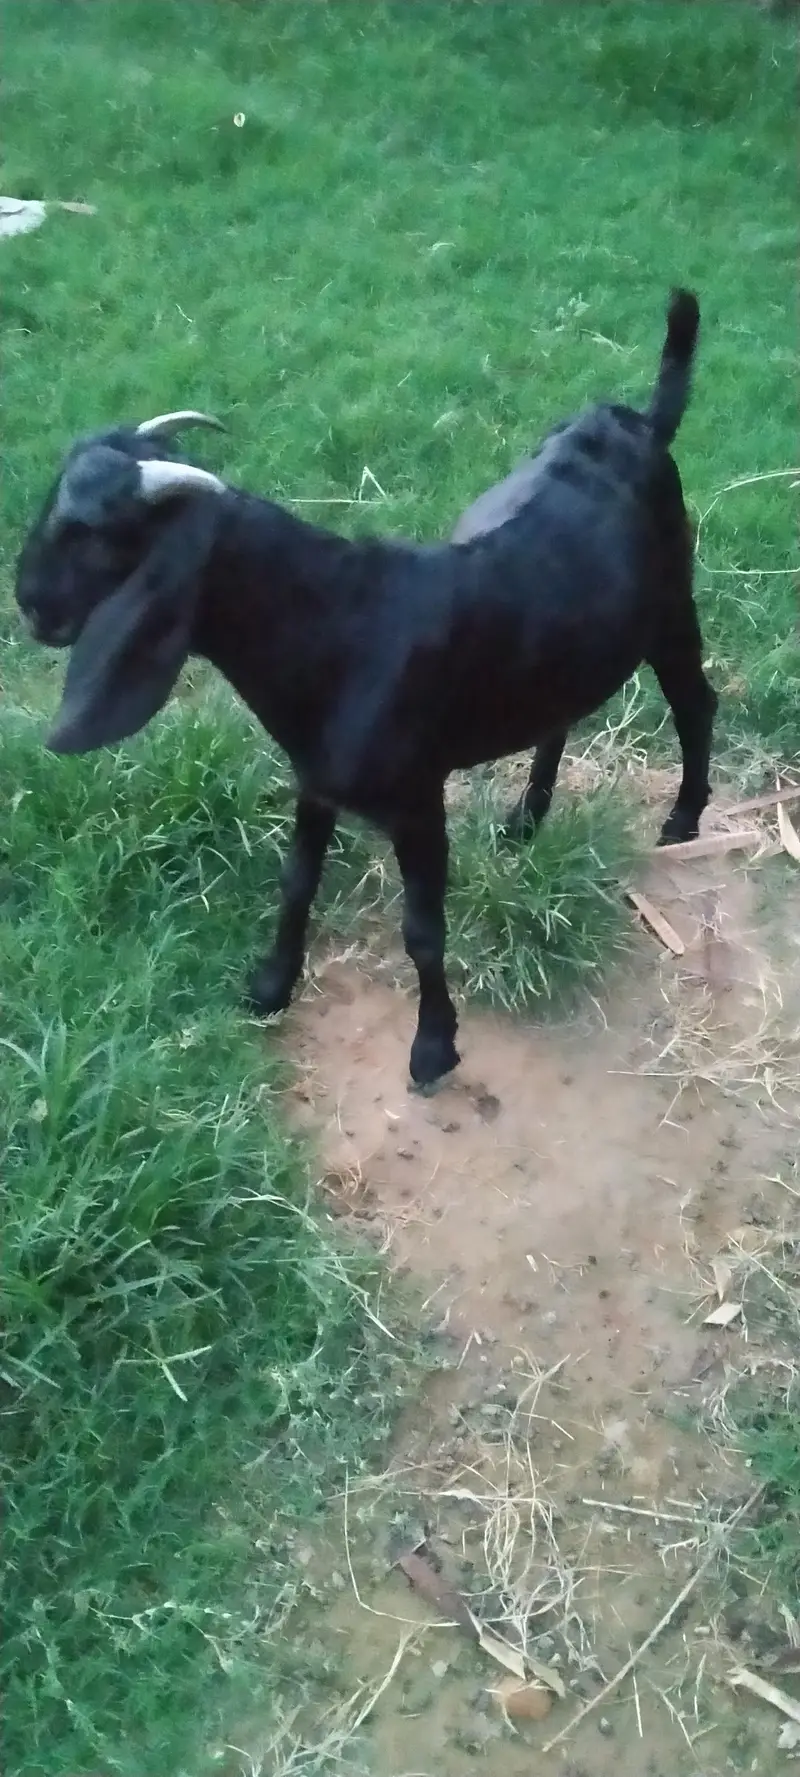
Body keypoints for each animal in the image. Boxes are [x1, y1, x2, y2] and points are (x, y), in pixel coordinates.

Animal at [15, 290, 717, 1088]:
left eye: (92, 530)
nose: (29, 602)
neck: (344, 627)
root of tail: (641, 424)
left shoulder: (417, 800)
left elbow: (422, 930)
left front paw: (434, 1047)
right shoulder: (315, 782)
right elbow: (296, 882)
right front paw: (269, 987)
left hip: (672, 606)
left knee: (696, 702)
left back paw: (685, 816)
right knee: (561, 715)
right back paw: (526, 818)